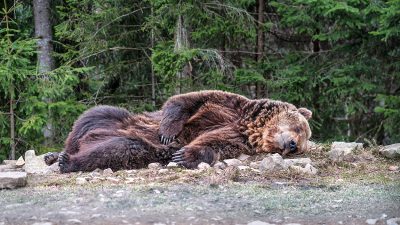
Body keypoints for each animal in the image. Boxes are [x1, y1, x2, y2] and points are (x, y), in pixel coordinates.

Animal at [44, 89, 312, 172]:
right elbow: (184, 101)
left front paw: (184, 155)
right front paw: (168, 131)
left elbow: (213, 144)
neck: (250, 125)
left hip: (139, 145)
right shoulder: (228, 104)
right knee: (91, 117)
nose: (292, 146)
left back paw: (68, 160)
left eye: (303, 144)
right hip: (117, 119)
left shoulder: (236, 138)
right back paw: (56, 155)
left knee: (119, 148)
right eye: (300, 128)